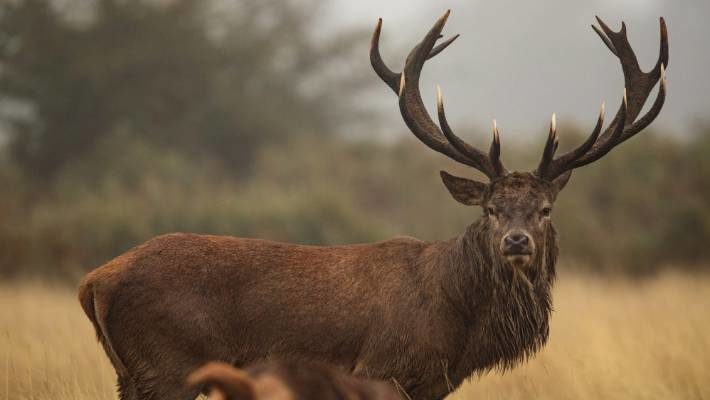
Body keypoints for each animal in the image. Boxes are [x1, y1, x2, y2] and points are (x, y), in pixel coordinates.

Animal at [78, 10, 668, 400]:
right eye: (490, 209)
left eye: (544, 209)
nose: (516, 241)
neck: (460, 327)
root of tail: (94, 282)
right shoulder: (383, 368)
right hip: (167, 366)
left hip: (133, 372)